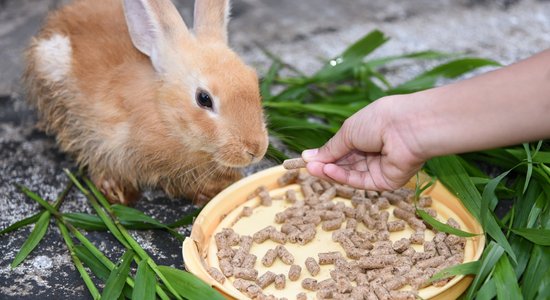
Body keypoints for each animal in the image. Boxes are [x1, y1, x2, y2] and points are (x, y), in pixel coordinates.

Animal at [23, 0, 270, 205]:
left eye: (253, 79)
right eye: (204, 99)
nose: (255, 150)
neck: (164, 113)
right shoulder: (101, 139)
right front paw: (118, 193)